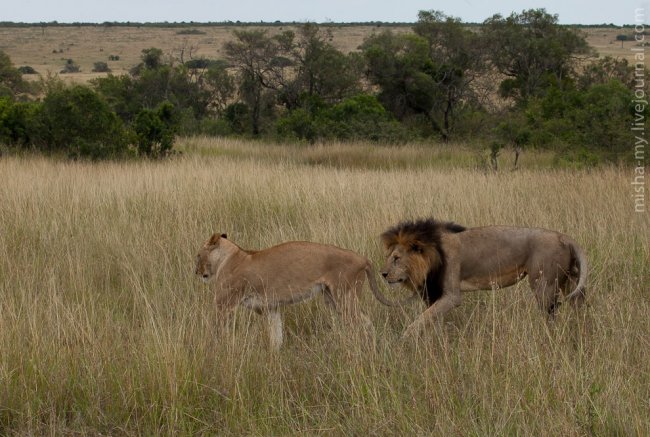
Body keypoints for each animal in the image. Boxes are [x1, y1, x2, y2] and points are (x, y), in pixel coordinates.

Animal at [192, 233, 394, 350]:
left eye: (198, 255)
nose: (196, 272)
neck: (229, 257)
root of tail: (363, 258)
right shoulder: (270, 307)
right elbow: (276, 335)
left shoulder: (224, 304)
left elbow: (215, 331)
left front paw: (212, 352)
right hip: (331, 297)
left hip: (345, 297)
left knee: (365, 322)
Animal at [380, 218, 588, 338]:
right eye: (388, 257)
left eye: (396, 259)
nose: (383, 274)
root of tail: (564, 237)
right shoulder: (435, 295)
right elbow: (431, 319)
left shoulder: (451, 296)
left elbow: (421, 320)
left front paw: (404, 339)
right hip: (569, 281)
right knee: (579, 306)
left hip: (544, 285)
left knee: (550, 315)